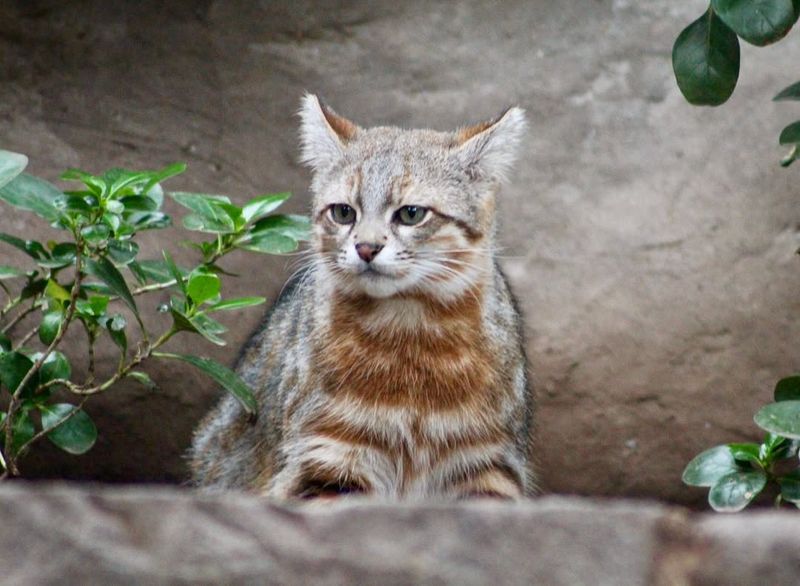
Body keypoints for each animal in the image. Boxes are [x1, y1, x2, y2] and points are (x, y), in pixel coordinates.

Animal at [190, 96, 536, 498]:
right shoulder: (330, 457)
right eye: (343, 213)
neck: (408, 326)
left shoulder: (486, 464)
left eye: (411, 214)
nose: (366, 248)